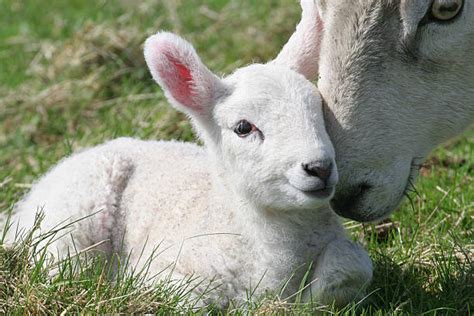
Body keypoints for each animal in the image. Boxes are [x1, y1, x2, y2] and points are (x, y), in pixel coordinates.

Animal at [5, 27, 372, 306]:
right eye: (243, 127)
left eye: (320, 111)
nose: (320, 168)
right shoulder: (163, 274)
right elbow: (191, 300)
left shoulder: (345, 260)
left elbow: (351, 268)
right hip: (72, 223)